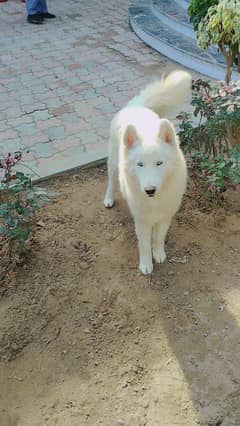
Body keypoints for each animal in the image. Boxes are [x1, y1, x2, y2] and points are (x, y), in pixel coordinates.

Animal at [104, 70, 192, 274]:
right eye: (140, 164)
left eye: (159, 163)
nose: (149, 190)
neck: (155, 201)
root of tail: (138, 105)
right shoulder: (142, 220)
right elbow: (143, 244)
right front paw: (146, 265)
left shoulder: (166, 216)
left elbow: (158, 238)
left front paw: (158, 254)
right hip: (113, 163)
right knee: (111, 181)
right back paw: (109, 199)